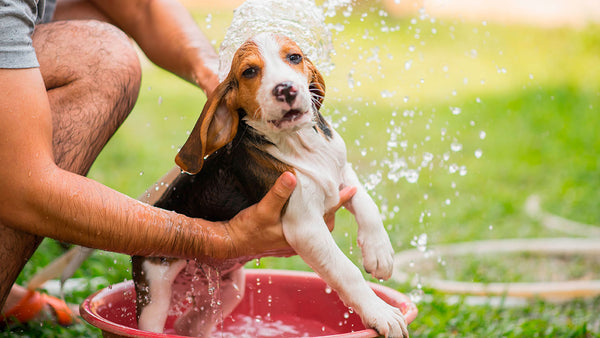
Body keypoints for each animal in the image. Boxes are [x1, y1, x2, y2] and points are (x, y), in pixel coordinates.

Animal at [132, 32, 408, 338]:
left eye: (294, 57)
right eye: (249, 72)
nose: (285, 89)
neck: (299, 143)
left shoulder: (342, 173)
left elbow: (367, 203)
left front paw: (379, 253)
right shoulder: (306, 226)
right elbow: (346, 271)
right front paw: (380, 312)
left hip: (228, 290)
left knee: (187, 325)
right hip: (154, 288)